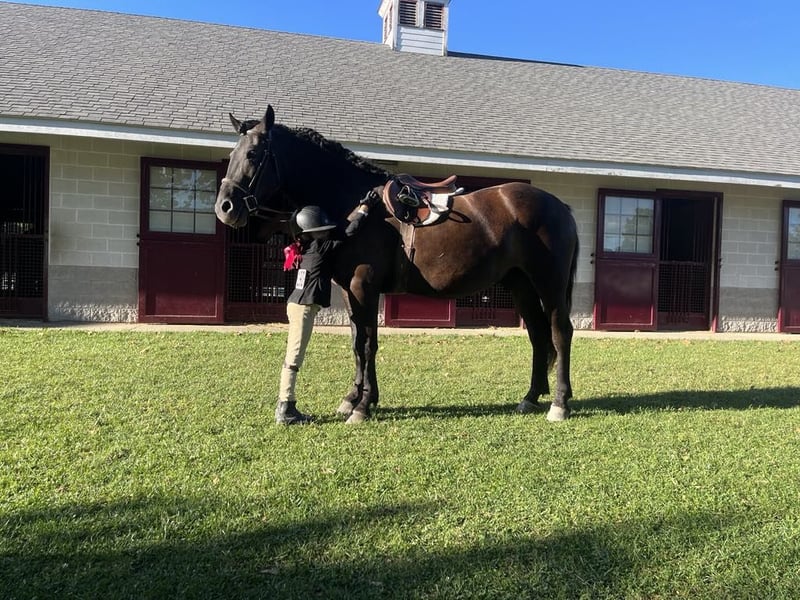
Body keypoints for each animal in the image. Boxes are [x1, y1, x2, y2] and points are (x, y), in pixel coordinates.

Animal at [215, 105, 579, 423]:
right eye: (231, 157)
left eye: (253, 155)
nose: (225, 207)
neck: (353, 202)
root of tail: (560, 206)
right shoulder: (350, 290)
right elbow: (357, 342)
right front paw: (354, 398)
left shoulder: (364, 286)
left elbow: (367, 344)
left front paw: (362, 406)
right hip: (521, 285)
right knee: (538, 335)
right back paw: (530, 397)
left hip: (549, 284)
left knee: (560, 332)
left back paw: (559, 404)